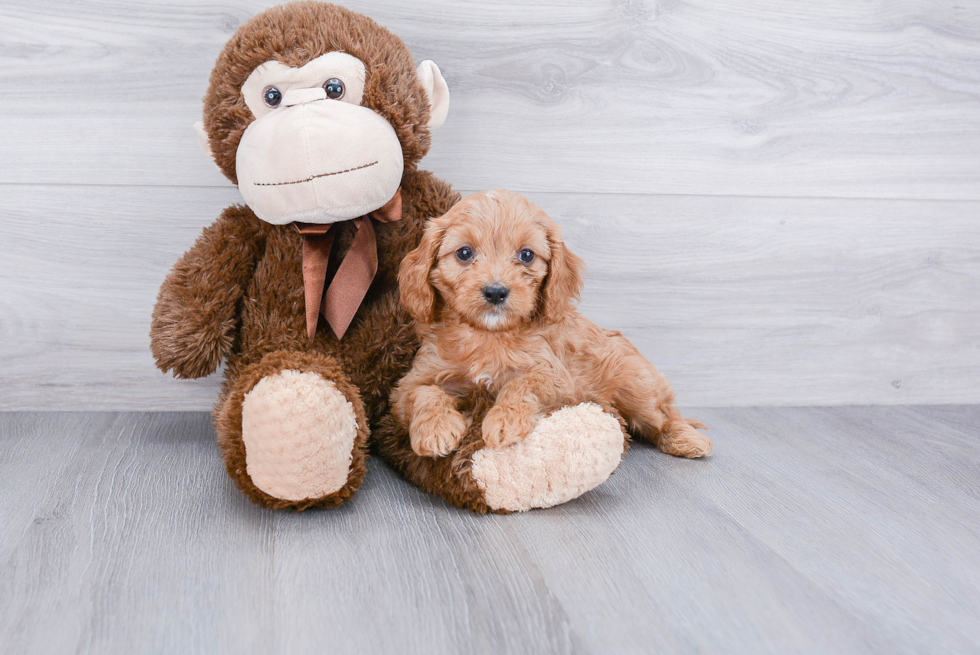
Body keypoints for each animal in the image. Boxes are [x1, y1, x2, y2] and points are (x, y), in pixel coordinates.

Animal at [392, 190, 712, 462]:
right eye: (464, 253)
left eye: (526, 255)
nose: (495, 292)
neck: (489, 335)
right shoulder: (411, 381)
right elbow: (424, 392)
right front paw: (436, 429)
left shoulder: (555, 377)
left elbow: (523, 383)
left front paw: (504, 420)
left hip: (637, 385)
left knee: (664, 416)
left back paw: (688, 440)